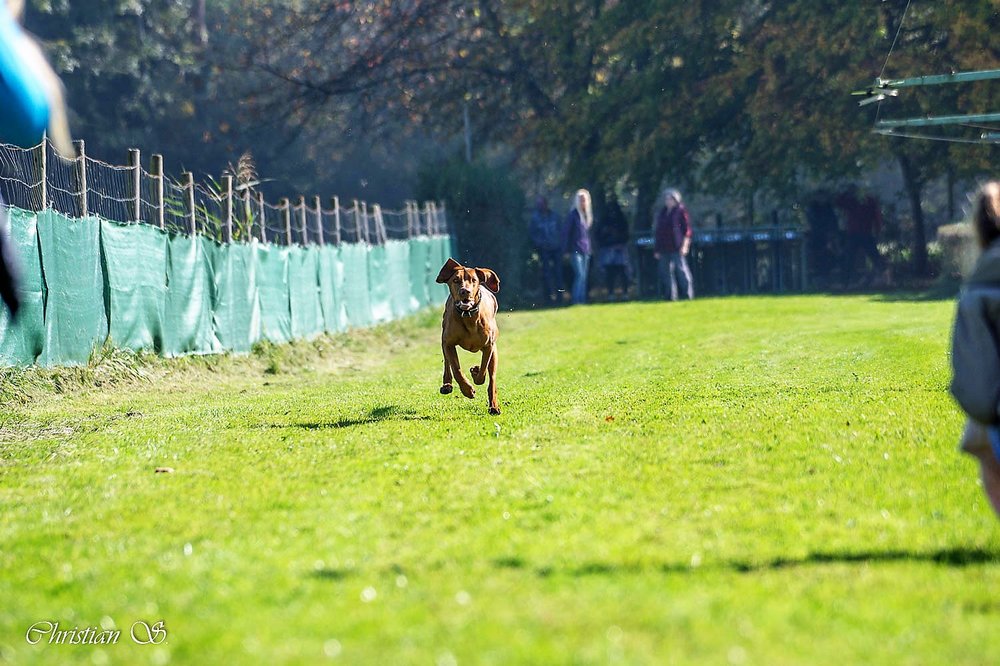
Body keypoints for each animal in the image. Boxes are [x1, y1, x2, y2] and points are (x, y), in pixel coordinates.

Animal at [436, 257, 501, 415]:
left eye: (474, 280)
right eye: (455, 280)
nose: (464, 291)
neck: (468, 316)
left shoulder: (488, 346)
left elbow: (483, 372)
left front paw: (476, 372)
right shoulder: (448, 343)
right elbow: (456, 370)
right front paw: (467, 390)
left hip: (494, 350)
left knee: (492, 378)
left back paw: (493, 406)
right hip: (443, 339)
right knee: (447, 364)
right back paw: (447, 385)